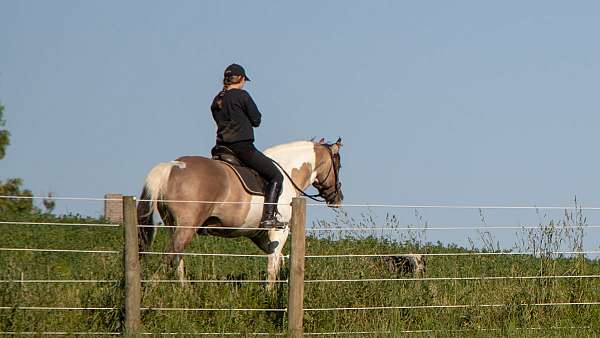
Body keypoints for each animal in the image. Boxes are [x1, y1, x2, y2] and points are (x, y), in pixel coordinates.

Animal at [135, 137, 342, 288]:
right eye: (338, 166)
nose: (338, 199)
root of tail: (171, 166)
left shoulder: (257, 235)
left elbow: (279, 260)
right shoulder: (279, 230)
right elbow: (272, 264)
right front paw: (269, 296)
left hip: (174, 227)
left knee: (176, 259)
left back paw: (185, 292)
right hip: (187, 227)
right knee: (168, 258)